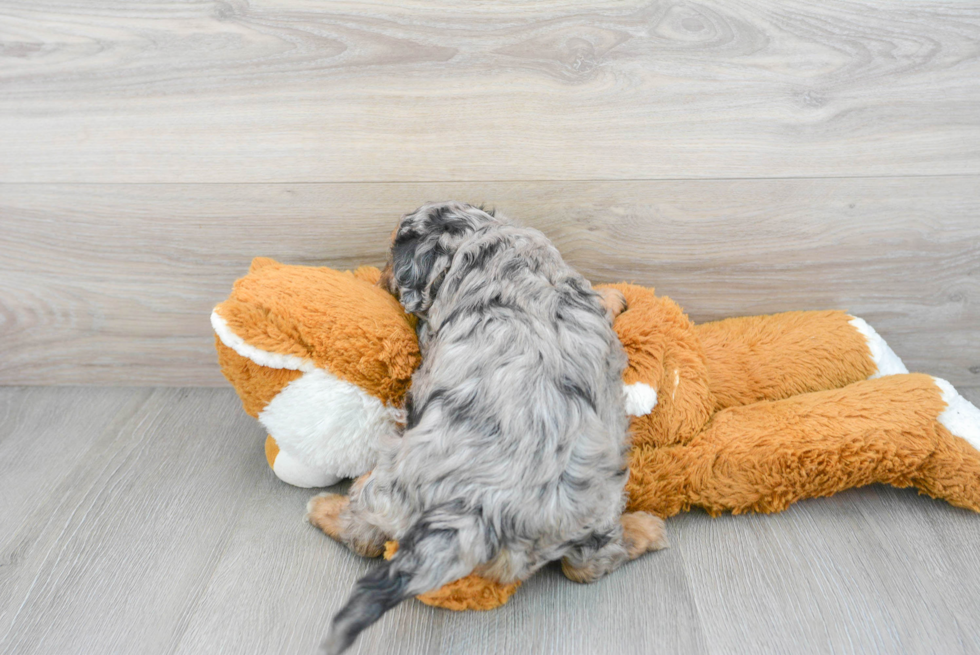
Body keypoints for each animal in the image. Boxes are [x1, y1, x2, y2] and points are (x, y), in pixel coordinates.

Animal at [310, 202, 668, 652]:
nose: (380, 278)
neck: (481, 239)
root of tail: (475, 511)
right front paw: (613, 296)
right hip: (594, 504)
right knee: (589, 563)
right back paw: (645, 531)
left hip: (389, 487)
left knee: (365, 533)